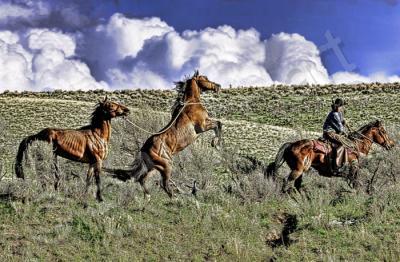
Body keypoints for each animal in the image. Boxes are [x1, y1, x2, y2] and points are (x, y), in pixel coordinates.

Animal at [105, 70, 222, 198]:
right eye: (205, 78)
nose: (218, 86)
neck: (191, 103)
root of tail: (144, 149)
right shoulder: (202, 126)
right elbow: (218, 124)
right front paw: (216, 143)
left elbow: (218, 124)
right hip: (166, 165)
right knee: (164, 184)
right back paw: (175, 199)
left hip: (154, 167)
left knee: (143, 179)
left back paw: (148, 197)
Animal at [266, 119, 394, 191]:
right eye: (383, 131)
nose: (391, 144)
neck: (356, 144)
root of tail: (290, 144)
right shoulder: (353, 167)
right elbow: (354, 182)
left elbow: (354, 182)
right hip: (297, 170)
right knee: (286, 181)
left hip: (300, 171)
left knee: (297, 185)